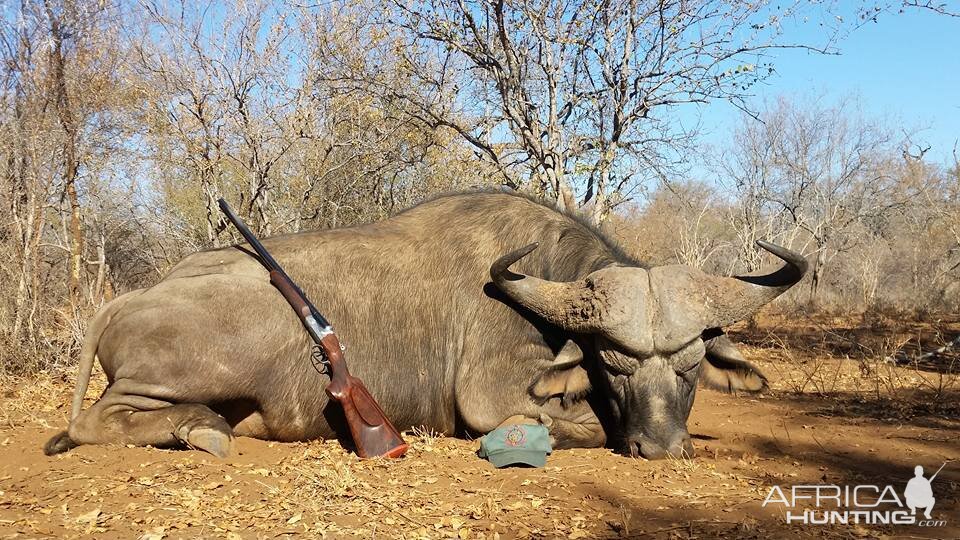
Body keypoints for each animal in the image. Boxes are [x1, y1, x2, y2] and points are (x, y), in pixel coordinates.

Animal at [47, 191, 808, 460]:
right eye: (613, 364)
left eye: (690, 367)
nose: (662, 447)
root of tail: (126, 301)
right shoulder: (494, 402)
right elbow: (584, 425)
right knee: (93, 420)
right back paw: (199, 429)